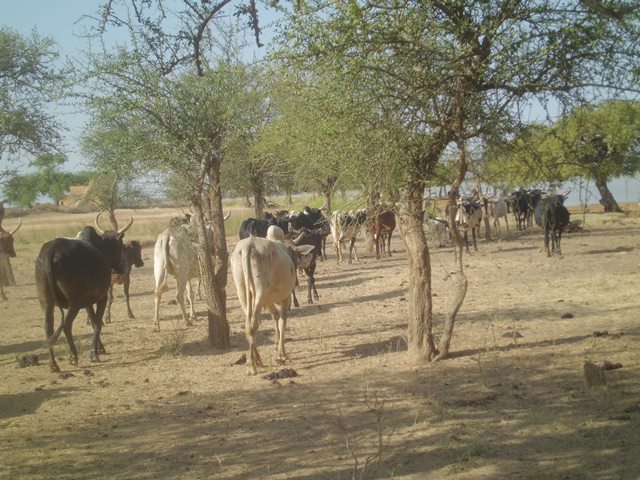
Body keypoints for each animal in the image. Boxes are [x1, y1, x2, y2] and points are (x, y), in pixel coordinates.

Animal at [231, 225, 314, 376]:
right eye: (294, 253)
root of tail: (249, 245)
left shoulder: (268, 301)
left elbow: (275, 317)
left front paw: (276, 346)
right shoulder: (286, 297)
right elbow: (282, 321)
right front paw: (282, 353)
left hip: (242, 291)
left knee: (249, 324)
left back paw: (256, 359)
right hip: (260, 291)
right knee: (253, 325)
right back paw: (251, 365)